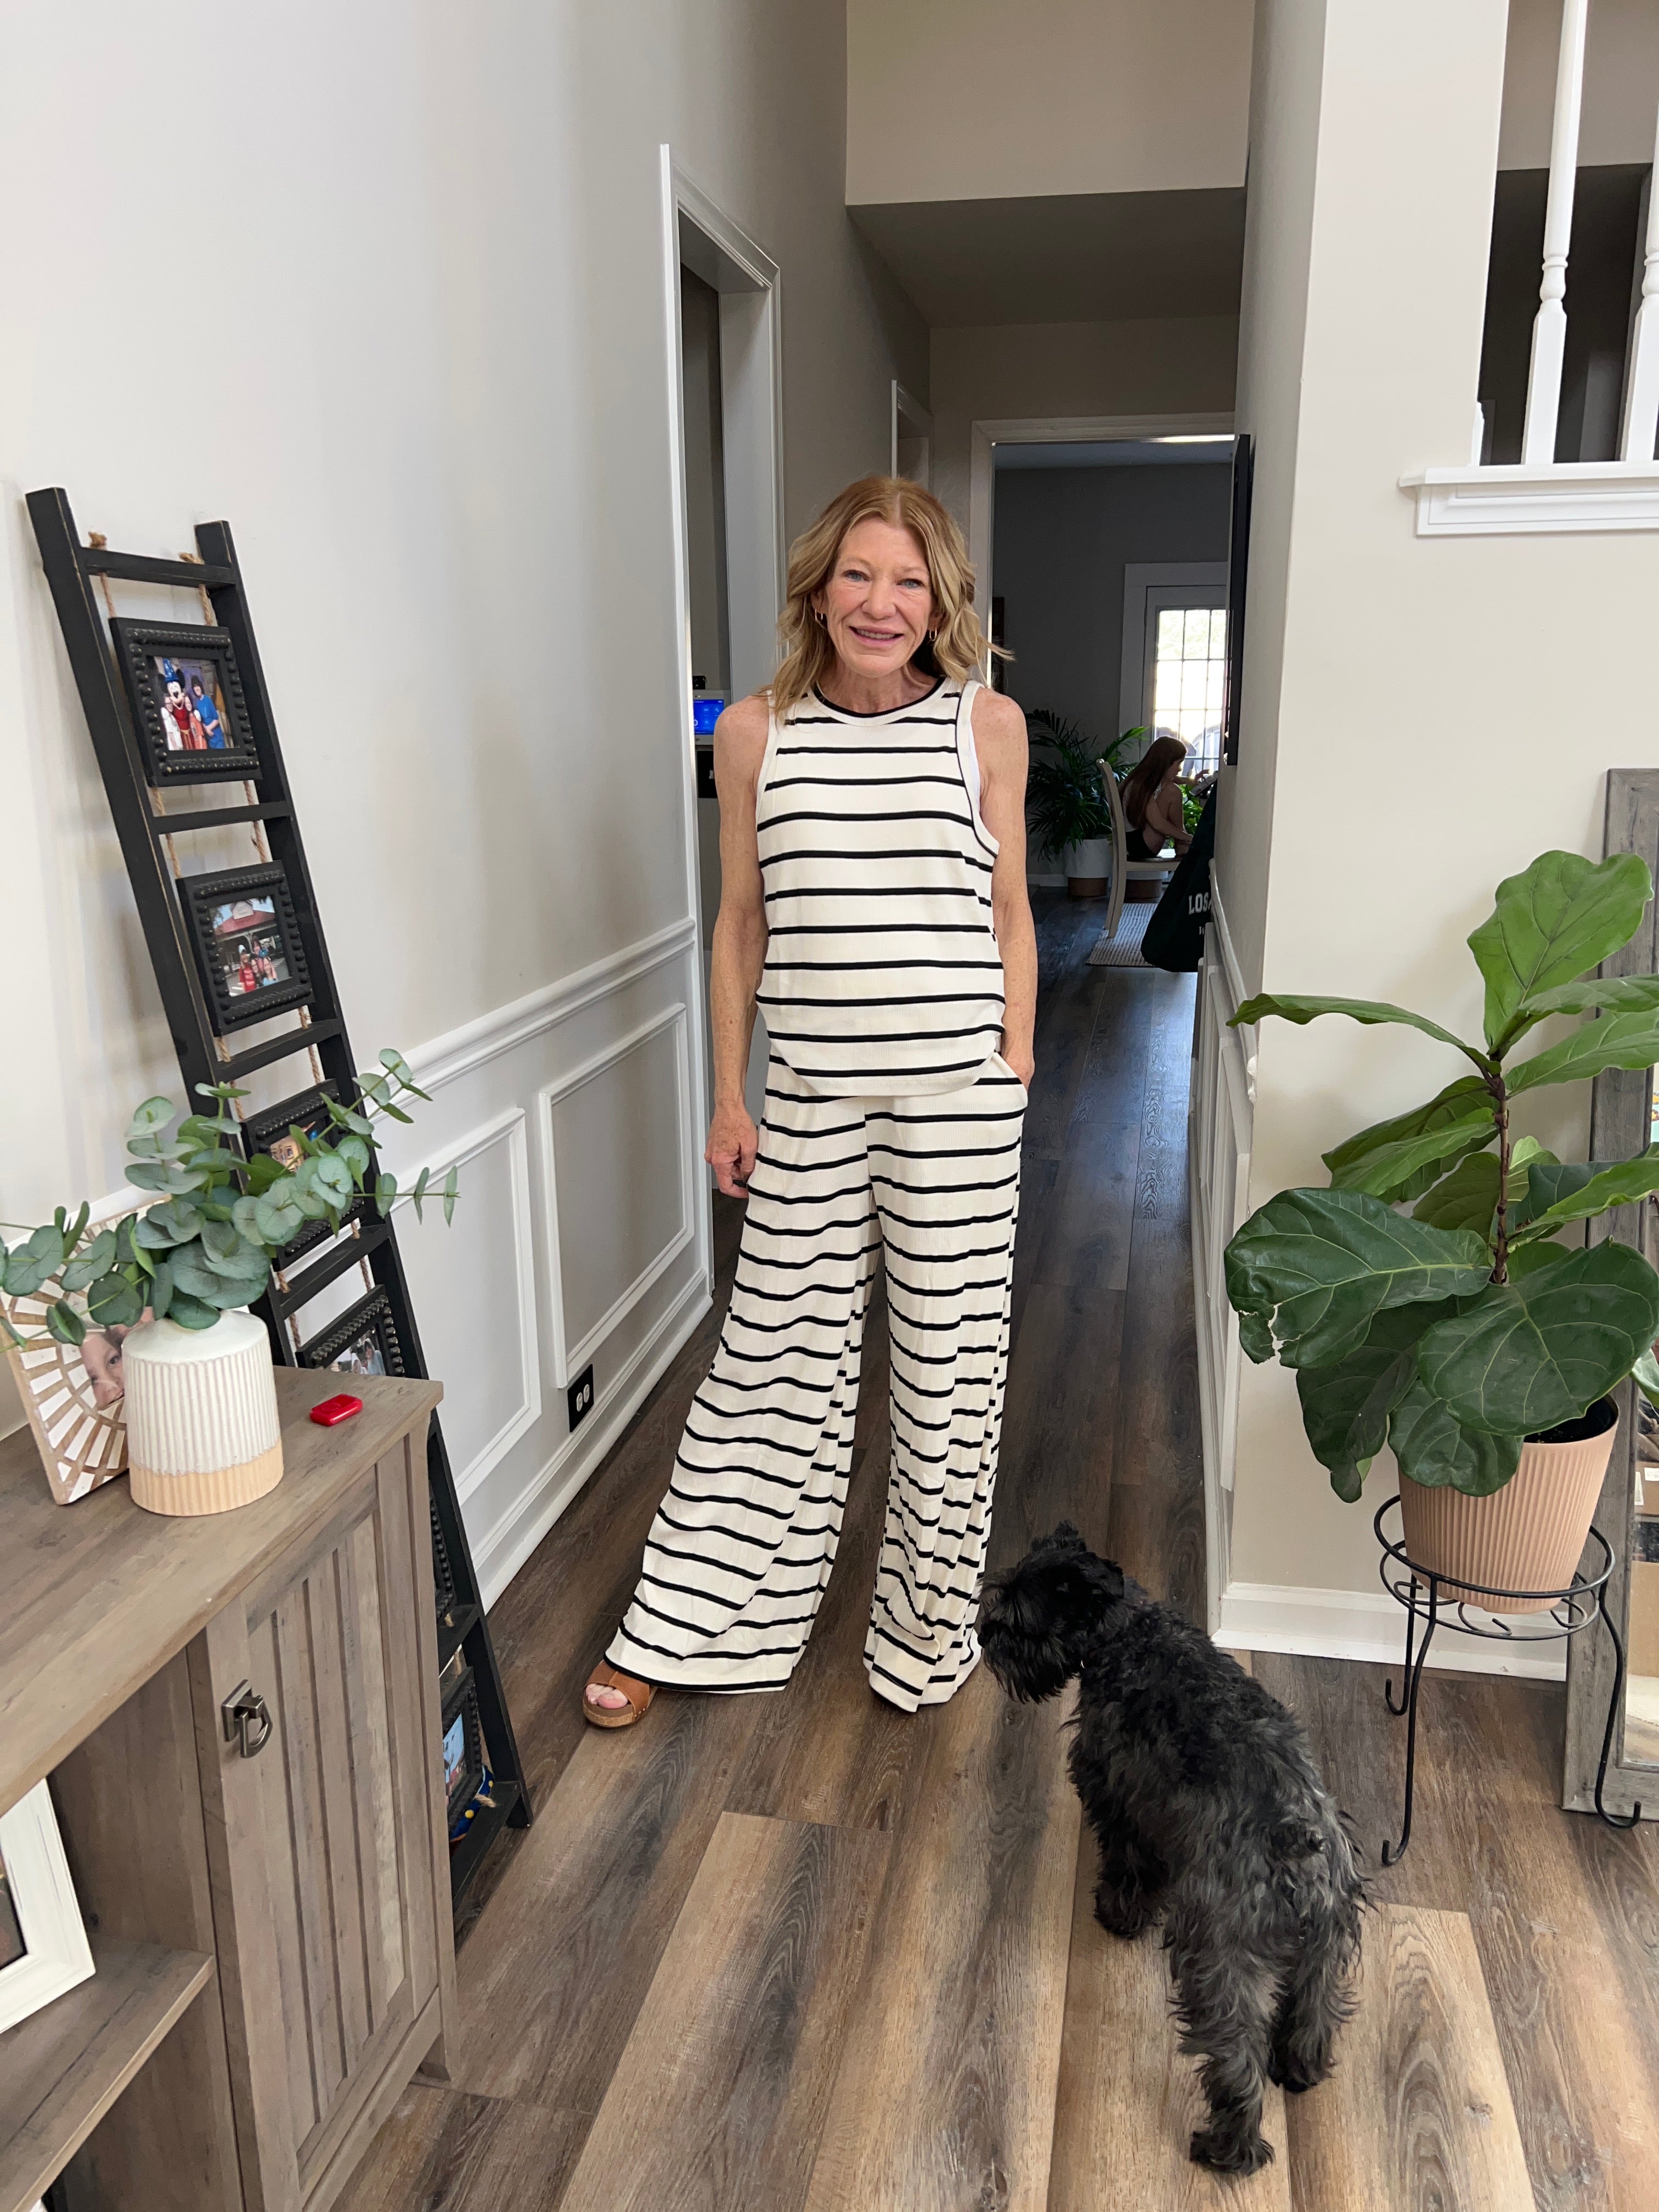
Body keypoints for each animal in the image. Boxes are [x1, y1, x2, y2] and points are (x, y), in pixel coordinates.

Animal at [986, 1531, 1362, 2168]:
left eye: (1019, 1616)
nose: (985, 1636)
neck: (1125, 1631)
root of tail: (1296, 1843)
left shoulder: (1114, 1793)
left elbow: (1129, 1868)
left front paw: (1117, 1916)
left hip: (1215, 1960)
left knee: (1236, 2062)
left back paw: (1227, 2148)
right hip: (1324, 1947)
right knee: (1314, 2011)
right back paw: (1301, 2069)